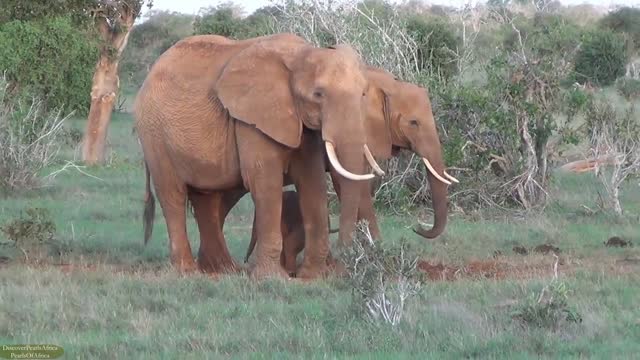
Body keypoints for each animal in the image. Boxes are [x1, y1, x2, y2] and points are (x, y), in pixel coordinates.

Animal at [134, 33, 384, 278]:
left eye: (363, 93)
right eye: (318, 94)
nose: (346, 261)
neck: (302, 54)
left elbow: (312, 181)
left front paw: (312, 275)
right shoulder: (252, 119)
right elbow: (265, 182)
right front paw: (272, 278)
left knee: (206, 197)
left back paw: (226, 270)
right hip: (154, 135)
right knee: (172, 194)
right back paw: (189, 272)